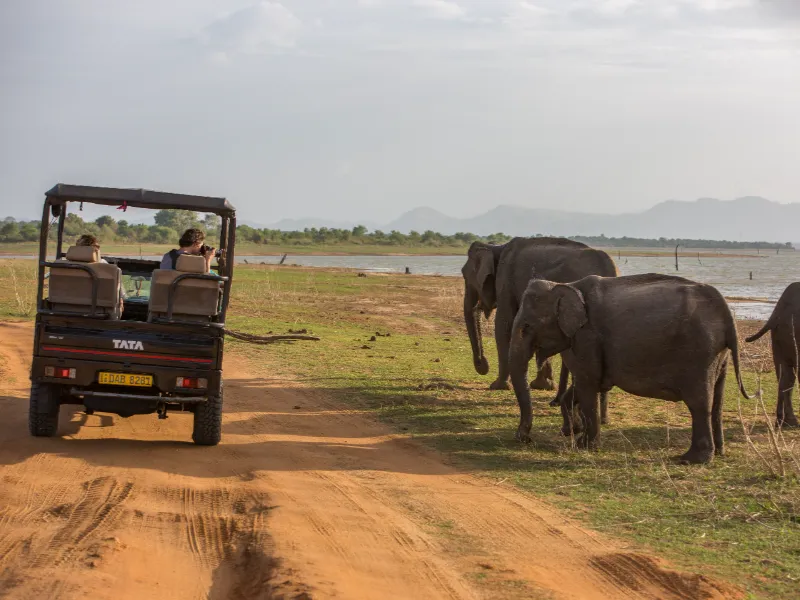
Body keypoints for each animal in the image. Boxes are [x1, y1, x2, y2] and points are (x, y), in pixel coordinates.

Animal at [461, 237, 618, 421]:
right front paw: (542, 385)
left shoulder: (505, 281)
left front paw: (498, 386)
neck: (497, 247)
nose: (483, 365)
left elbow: (503, 326)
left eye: (465, 275)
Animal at [508, 273, 752, 464]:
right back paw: (719, 453)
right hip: (719, 353)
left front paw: (584, 446)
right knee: (717, 400)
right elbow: (584, 386)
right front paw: (571, 432)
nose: (525, 439)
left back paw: (691, 460)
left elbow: (588, 386)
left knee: (699, 403)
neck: (565, 285)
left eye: (527, 326)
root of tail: (725, 310)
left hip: (700, 352)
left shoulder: (587, 337)